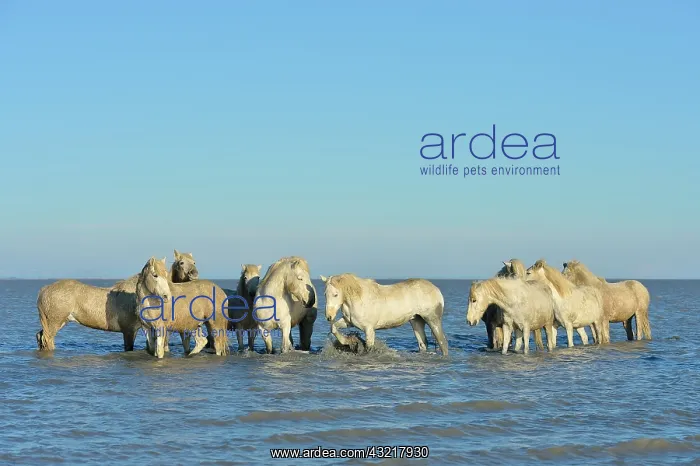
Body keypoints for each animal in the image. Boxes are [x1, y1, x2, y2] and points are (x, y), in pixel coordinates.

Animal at [320, 273, 449, 356]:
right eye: (325, 294)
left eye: (336, 294)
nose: (329, 316)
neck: (359, 298)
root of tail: (436, 289)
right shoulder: (349, 322)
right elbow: (333, 328)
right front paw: (349, 341)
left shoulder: (369, 329)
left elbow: (369, 347)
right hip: (417, 321)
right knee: (423, 343)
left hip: (432, 319)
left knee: (443, 342)